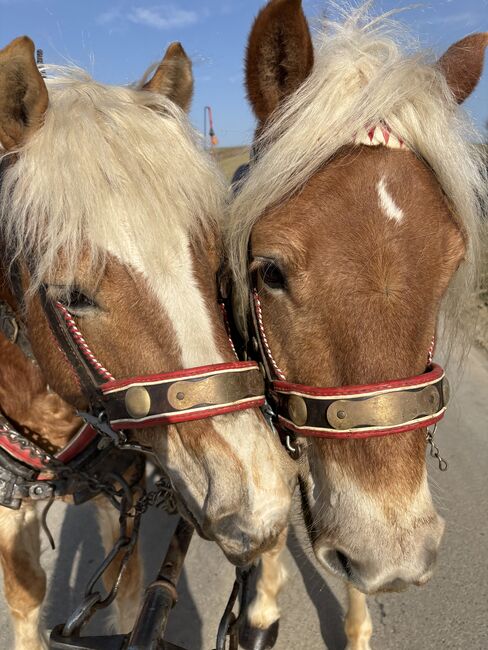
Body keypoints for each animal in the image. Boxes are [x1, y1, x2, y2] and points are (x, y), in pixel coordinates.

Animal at [0, 36, 296, 648]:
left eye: (218, 263)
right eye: (73, 294)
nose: (257, 494)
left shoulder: (125, 489)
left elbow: (131, 590)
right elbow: (25, 598)